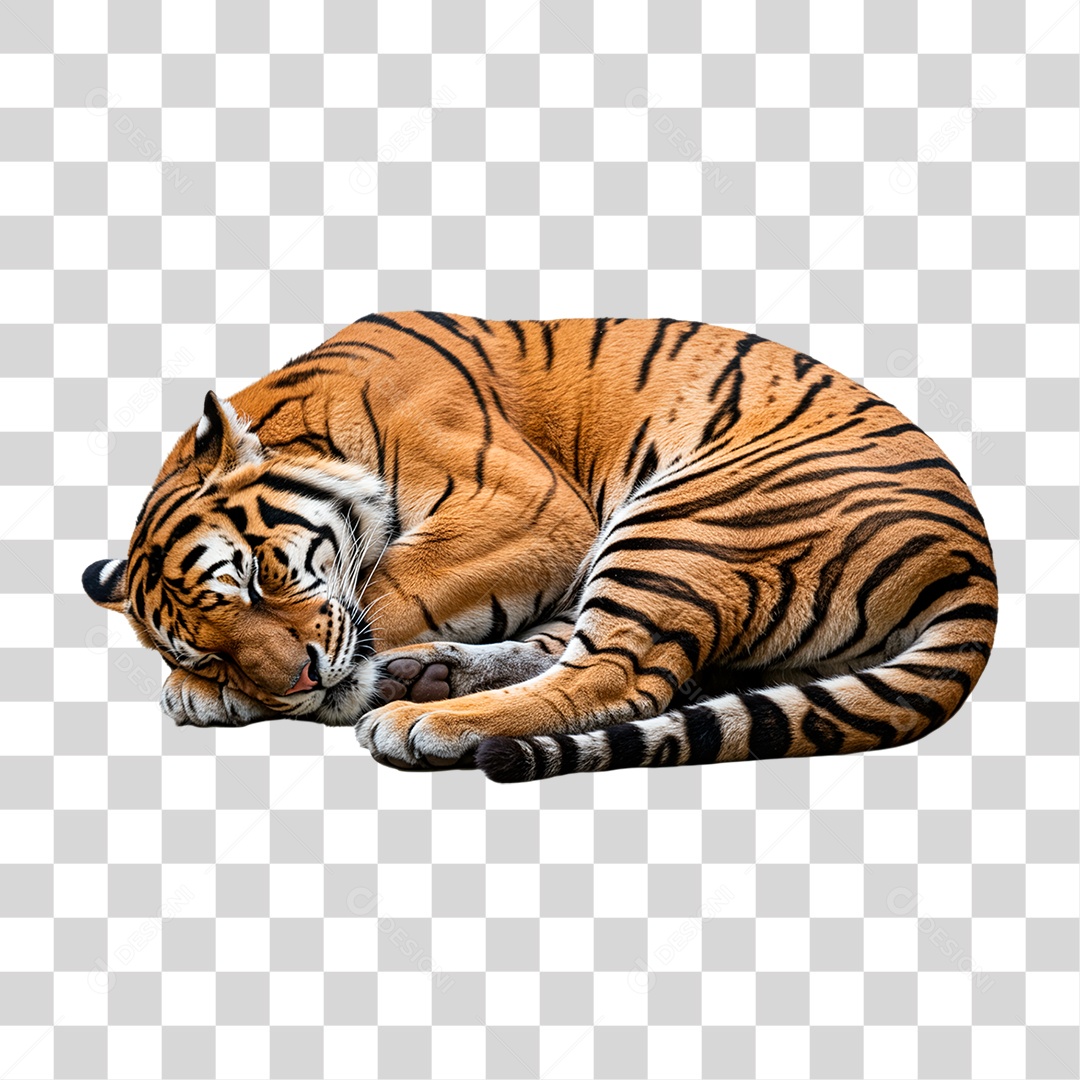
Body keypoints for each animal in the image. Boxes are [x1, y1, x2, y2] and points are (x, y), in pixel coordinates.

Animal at [83, 311, 998, 782]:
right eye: (206, 647)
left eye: (254, 579)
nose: (296, 681)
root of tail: (975, 563)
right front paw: (213, 692)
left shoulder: (527, 506)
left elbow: (386, 590)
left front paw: (304, 692)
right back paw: (427, 677)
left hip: (684, 517)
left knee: (624, 677)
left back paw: (415, 714)